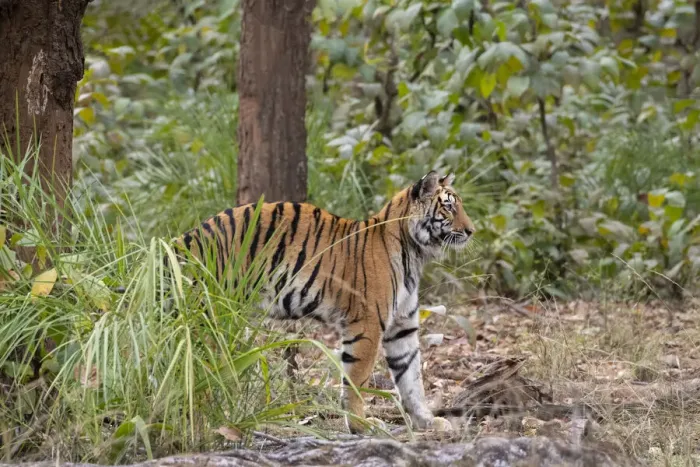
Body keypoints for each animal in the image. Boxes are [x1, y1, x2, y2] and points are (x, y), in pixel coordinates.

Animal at [173, 170, 476, 433]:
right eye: (449, 207)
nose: (472, 231)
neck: (414, 253)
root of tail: (187, 238)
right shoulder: (367, 324)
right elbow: (357, 379)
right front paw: (360, 424)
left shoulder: (402, 327)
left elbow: (411, 378)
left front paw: (428, 421)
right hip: (210, 317)